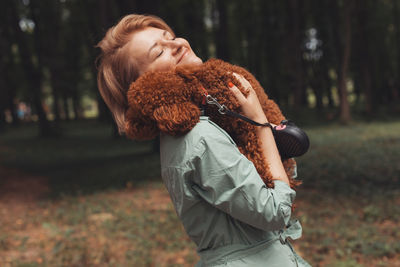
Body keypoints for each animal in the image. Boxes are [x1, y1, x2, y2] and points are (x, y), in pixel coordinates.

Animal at [125, 58, 300, 189]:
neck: (204, 90)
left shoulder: (246, 124)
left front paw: (267, 180)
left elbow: (254, 151)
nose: (128, 126)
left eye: (140, 113)